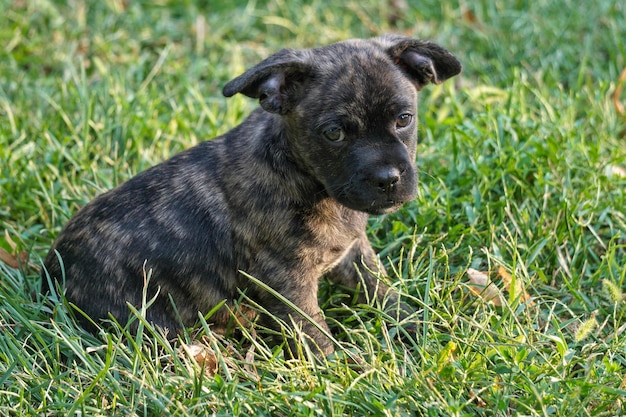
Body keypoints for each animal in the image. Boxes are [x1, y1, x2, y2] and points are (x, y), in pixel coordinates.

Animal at [40, 34, 458, 356]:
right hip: (151, 321)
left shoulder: (354, 253)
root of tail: (50, 274)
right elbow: (315, 335)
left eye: (404, 119)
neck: (306, 178)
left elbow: (382, 290)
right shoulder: (289, 285)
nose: (388, 179)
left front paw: (416, 326)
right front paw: (343, 372)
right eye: (334, 133)